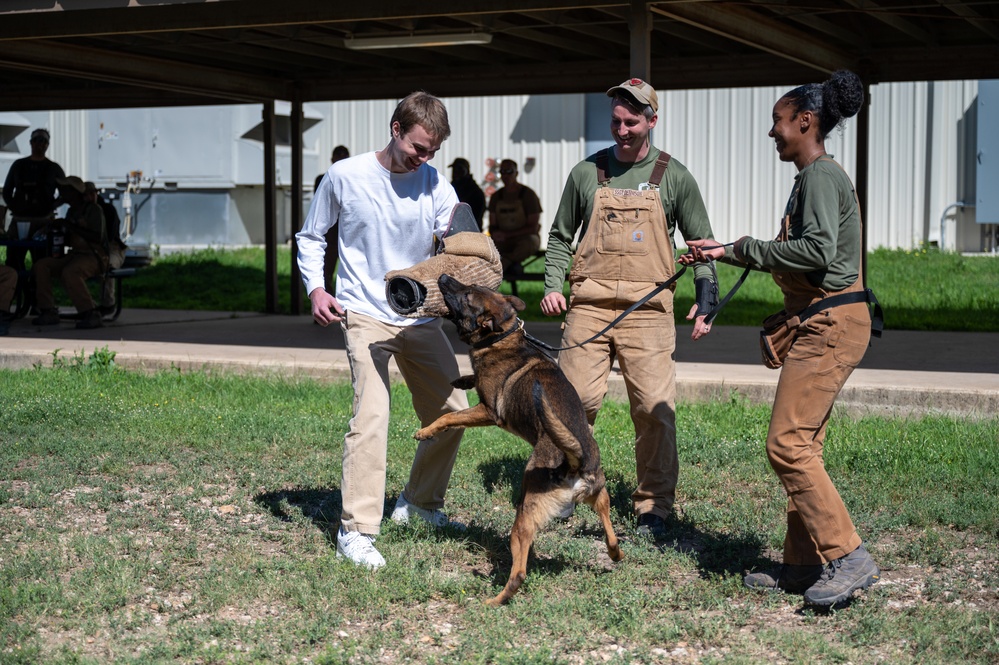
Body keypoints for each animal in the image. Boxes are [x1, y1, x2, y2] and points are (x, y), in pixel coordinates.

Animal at [412, 272, 616, 604]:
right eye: (474, 288)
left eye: (467, 295)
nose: (443, 276)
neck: (501, 337)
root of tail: (576, 463)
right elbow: (471, 381)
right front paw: (464, 378)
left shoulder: (487, 411)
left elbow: (449, 417)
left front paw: (426, 431)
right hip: (601, 498)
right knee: (611, 535)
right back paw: (615, 554)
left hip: (523, 517)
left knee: (519, 572)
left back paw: (494, 601)